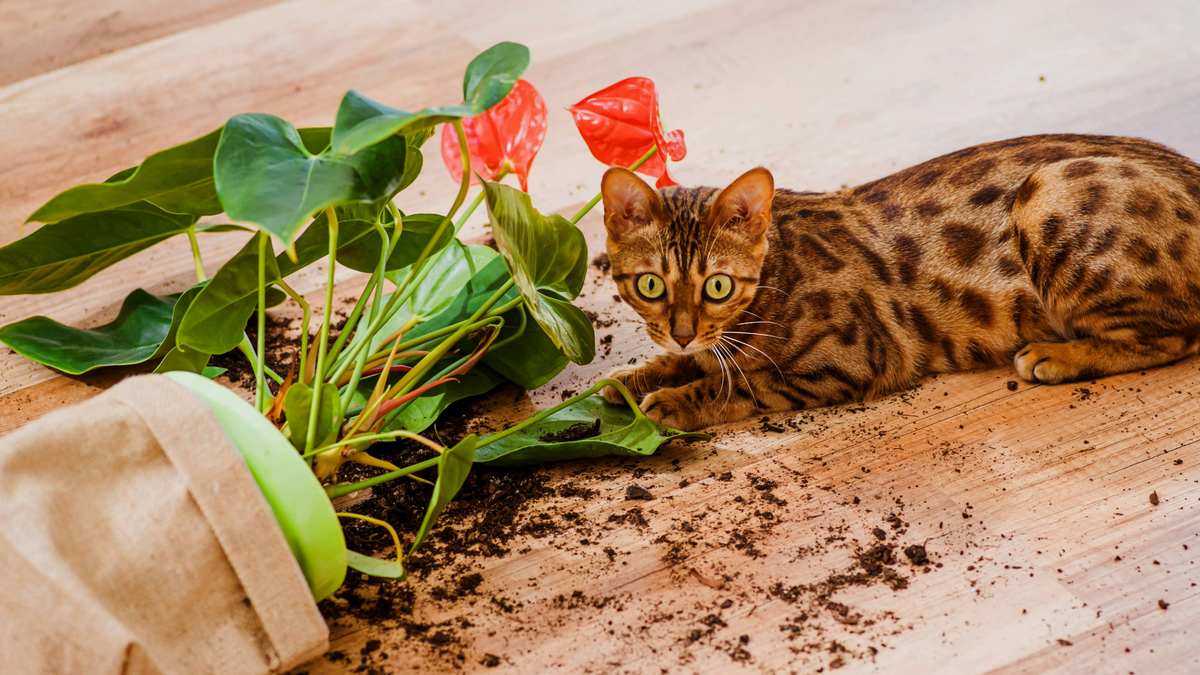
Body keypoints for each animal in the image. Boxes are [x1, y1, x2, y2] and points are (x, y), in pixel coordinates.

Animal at [600, 133, 1200, 427]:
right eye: (650, 285)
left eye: (717, 286)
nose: (682, 330)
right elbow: (688, 361)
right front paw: (629, 381)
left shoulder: (850, 359)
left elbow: (742, 383)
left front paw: (675, 401)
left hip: (1048, 195)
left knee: (1175, 335)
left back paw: (1059, 355)